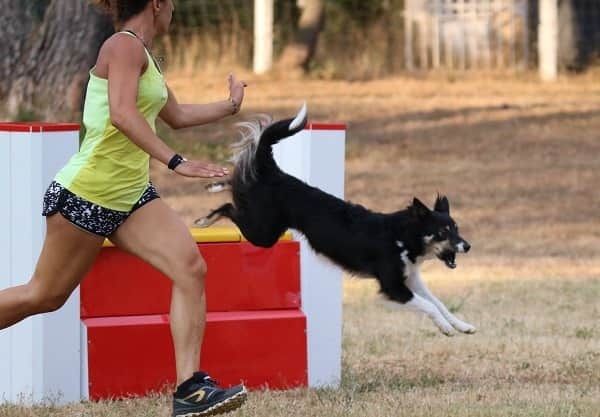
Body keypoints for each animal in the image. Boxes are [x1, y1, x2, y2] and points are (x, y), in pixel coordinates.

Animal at [197, 104, 478, 334]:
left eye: (456, 228)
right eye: (443, 232)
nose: (467, 246)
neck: (403, 236)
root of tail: (274, 172)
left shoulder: (411, 278)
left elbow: (438, 303)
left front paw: (462, 325)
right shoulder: (393, 286)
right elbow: (429, 307)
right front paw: (446, 328)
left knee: (237, 180)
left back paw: (215, 185)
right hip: (263, 233)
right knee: (229, 206)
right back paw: (205, 219)